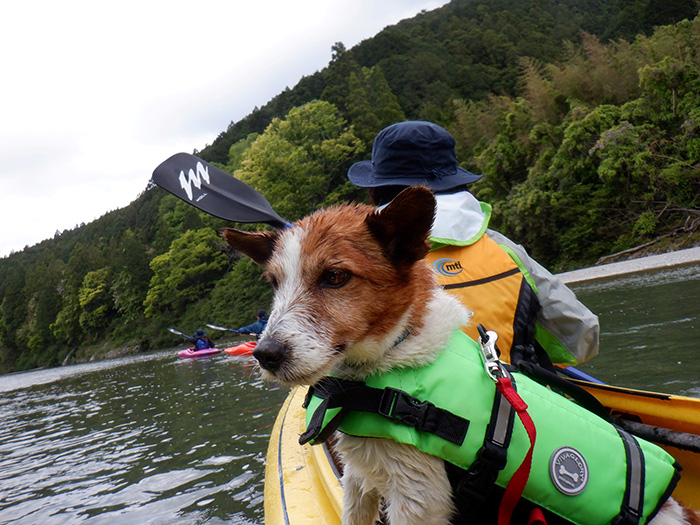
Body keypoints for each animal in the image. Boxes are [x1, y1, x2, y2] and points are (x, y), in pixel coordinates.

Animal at [221, 186, 696, 520]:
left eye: (335, 276)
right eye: (274, 283)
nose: (265, 354)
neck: (394, 356)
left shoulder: (417, 495)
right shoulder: (358, 481)